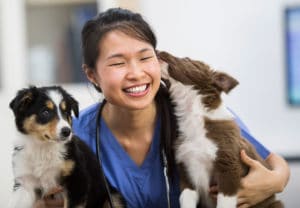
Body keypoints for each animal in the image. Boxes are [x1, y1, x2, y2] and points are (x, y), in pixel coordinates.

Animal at [158, 51, 282, 208]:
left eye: (186, 59)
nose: (158, 51)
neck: (194, 115)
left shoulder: (228, 170)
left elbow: (224, 203)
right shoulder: (186, 173)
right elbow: (186, 200)